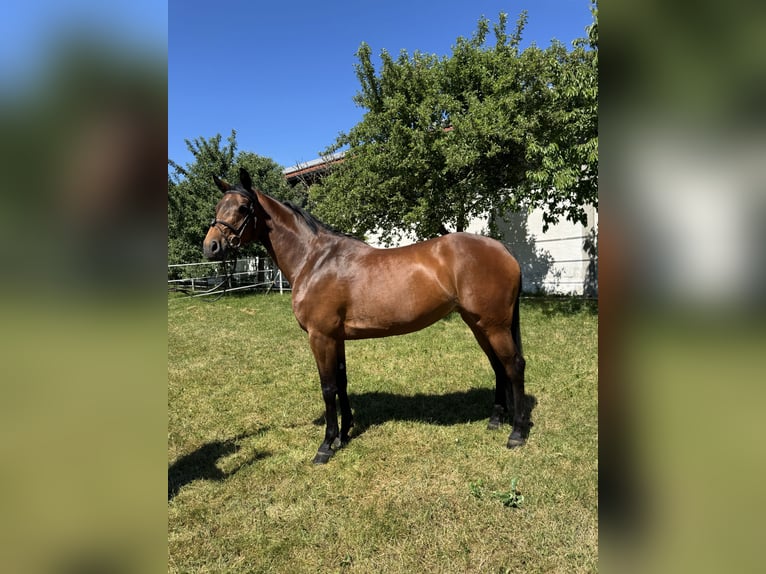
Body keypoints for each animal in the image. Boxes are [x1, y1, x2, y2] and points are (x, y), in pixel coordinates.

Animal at [203, 168, 530, 464]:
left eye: (243, 208)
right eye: (218, 207)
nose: (211, 247)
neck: (315, 260)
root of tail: (503, 249)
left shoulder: (320, 337)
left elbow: (328, 387)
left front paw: (326, 446)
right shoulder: (336, 337)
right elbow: (342, 381)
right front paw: (345, 433)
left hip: (494, 325)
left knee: (514, 365)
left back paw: (517, 433)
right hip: (478, 323)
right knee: (498, 365)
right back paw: (495, 420)